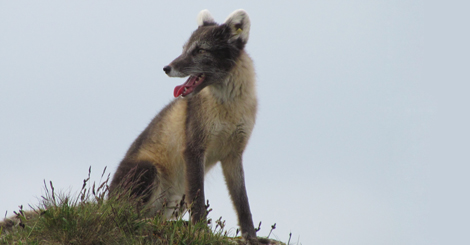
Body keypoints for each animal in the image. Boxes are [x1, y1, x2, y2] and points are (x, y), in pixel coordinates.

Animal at [108, 9, 258, 241]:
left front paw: (252, 237)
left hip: (176, 199)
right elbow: (199, 201)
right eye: (184, 49)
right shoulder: (193, 148)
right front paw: (201, 231)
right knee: (129, 214)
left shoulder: (233, 154)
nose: (166, 68)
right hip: (148, 171)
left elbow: (243, 203)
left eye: (200, 50)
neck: (228, 109)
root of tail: (104, 203)